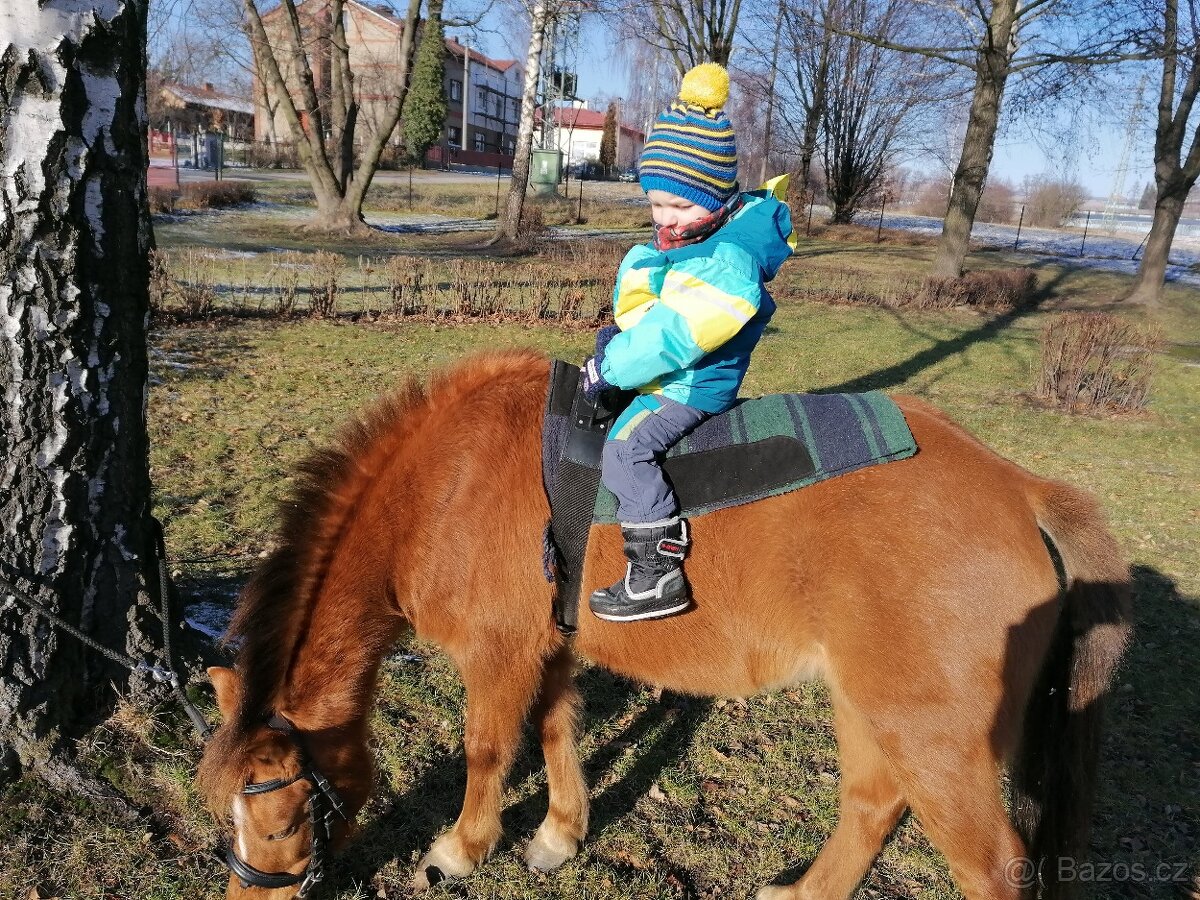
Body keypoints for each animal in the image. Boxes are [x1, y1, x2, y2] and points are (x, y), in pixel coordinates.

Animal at [197, 348, 1131, 900]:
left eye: (280, 821)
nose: (247, 897)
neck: (443, 486)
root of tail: (1019, 488)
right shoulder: (553, 647)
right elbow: (558, 730)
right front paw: (558, 836)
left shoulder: (498, 656)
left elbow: (490, 750)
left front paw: (462, 849)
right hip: (876, 709)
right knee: (870, 808)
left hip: (927, 733)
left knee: (988, 868)